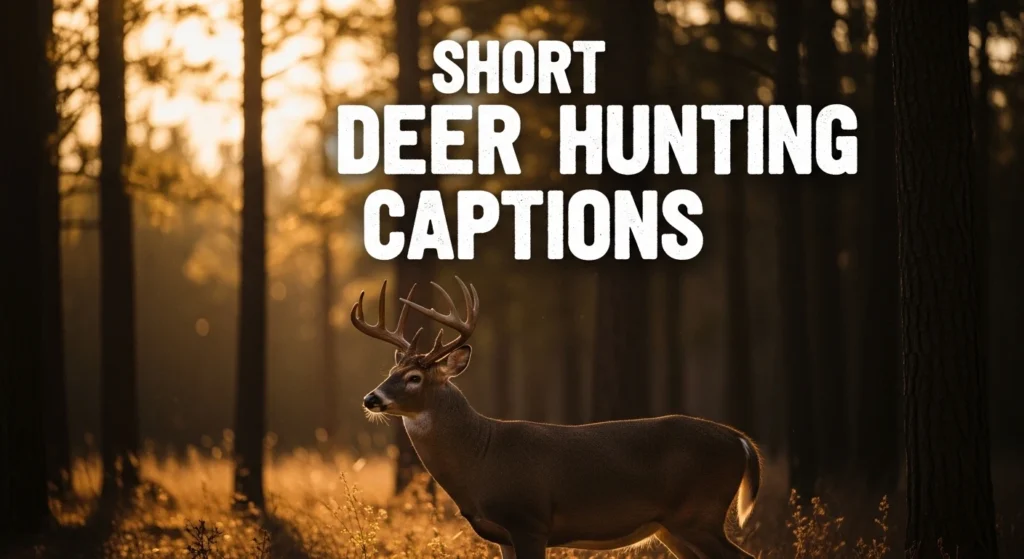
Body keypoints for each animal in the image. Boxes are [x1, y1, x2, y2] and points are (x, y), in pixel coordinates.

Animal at [352, 277, 762, 559]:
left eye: (414, 377)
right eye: (391, 371)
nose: (371, 398)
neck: (481, 458)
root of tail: (741, 441)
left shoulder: (530, 521)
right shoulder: (502, 534)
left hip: (698, 514)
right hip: (673, 527)